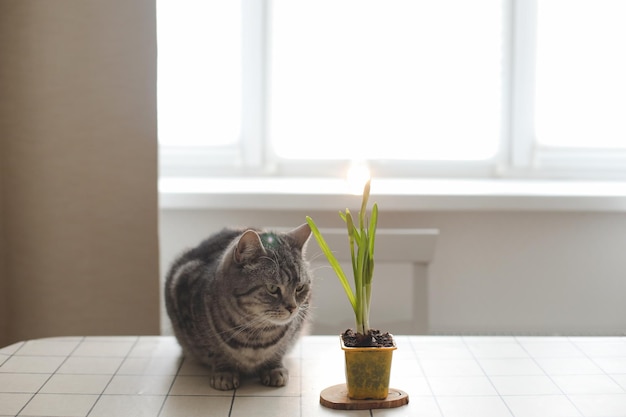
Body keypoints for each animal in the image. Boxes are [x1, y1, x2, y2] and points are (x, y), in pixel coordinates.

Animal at [165, 223, 310, 388]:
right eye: (273, 288)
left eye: (300, 288)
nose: (292, 308)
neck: (257, 335)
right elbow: (215, 351)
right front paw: (224, 372)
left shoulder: (294, 329)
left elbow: (280, 349)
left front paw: (273, 368)